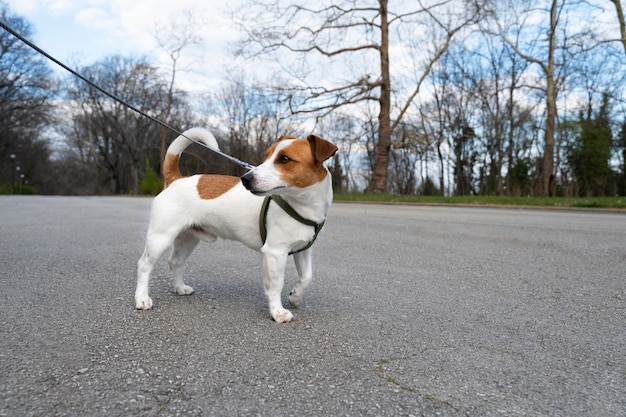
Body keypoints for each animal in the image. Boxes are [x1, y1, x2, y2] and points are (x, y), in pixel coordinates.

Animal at [135, 127, 336, 322]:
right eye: (266, 156)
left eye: (284, 159)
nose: (246, 178)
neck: (302, 206)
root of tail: (175, 179)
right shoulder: (275, 253)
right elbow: (276, 285)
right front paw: (277, 312)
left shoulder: (303, 250)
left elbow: (307, 277)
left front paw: (295, 296)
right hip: (160, 237)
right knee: (144, 265)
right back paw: (142, 299)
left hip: (188, 239)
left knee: (175, 262)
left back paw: (180, 288)